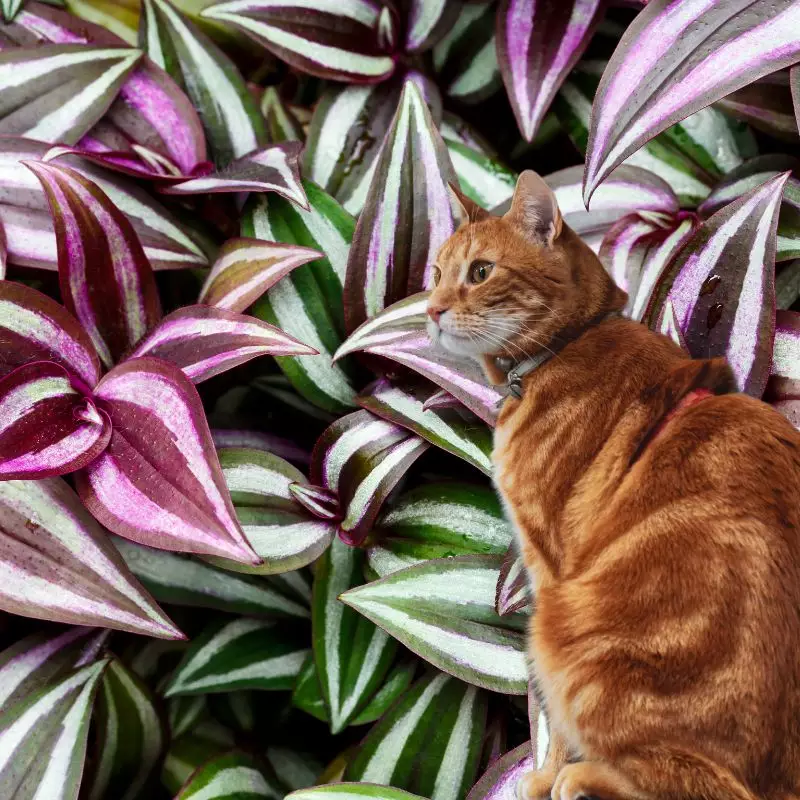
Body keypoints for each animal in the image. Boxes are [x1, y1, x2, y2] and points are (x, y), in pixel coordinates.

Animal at [428, 172, 800, 796]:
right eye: (435, 273)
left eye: (480, 272)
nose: (429, 311)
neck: (567, 345)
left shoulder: (549, 567)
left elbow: (549, 713)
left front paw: (545, 773)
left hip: (565, 632)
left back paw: (580, 777)